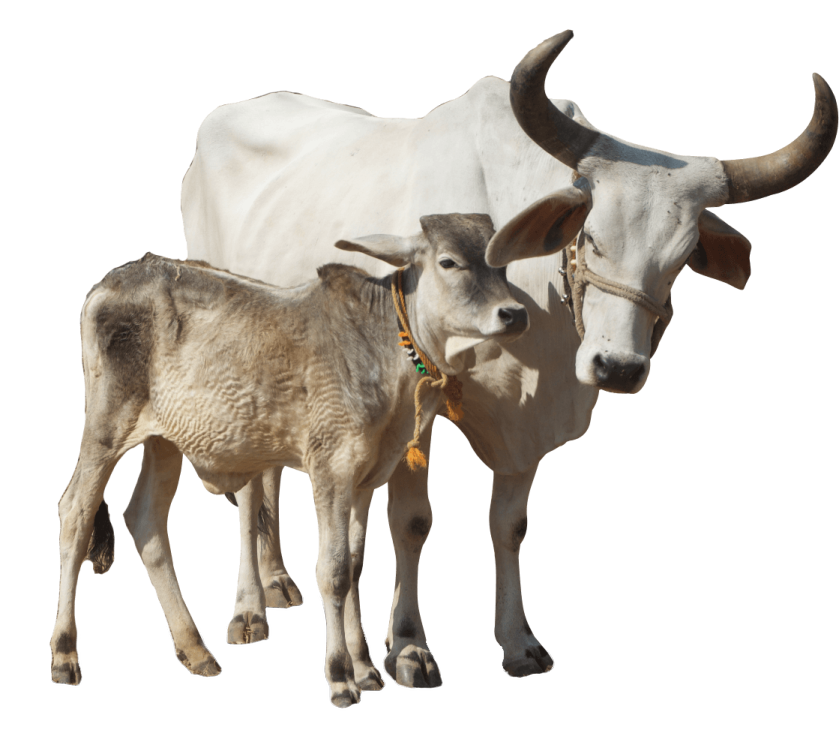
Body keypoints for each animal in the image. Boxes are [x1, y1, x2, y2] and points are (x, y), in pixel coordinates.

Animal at [49, 213, 536, 707]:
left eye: (502, 264)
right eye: (448, 262)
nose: (514, 314)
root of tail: (117, 278)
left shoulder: (364, 479)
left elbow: (355, 566)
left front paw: (365, 669)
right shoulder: (331, 468)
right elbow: (333, 572)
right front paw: (340, 676)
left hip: (163, 440)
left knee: (145, 519)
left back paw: (195, 649)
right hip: (107, 426)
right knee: (75, 511)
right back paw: (65, 654)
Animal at [178, 31, 838, 687]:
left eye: (680, 260)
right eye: (589, 237)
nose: (618, 368)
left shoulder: (527, 425)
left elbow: (510, 526)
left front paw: (518, 642)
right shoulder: (417, 406)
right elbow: (412, 523)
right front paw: (410, 647)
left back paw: (278, 581)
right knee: (245, 490)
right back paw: (249, 608)